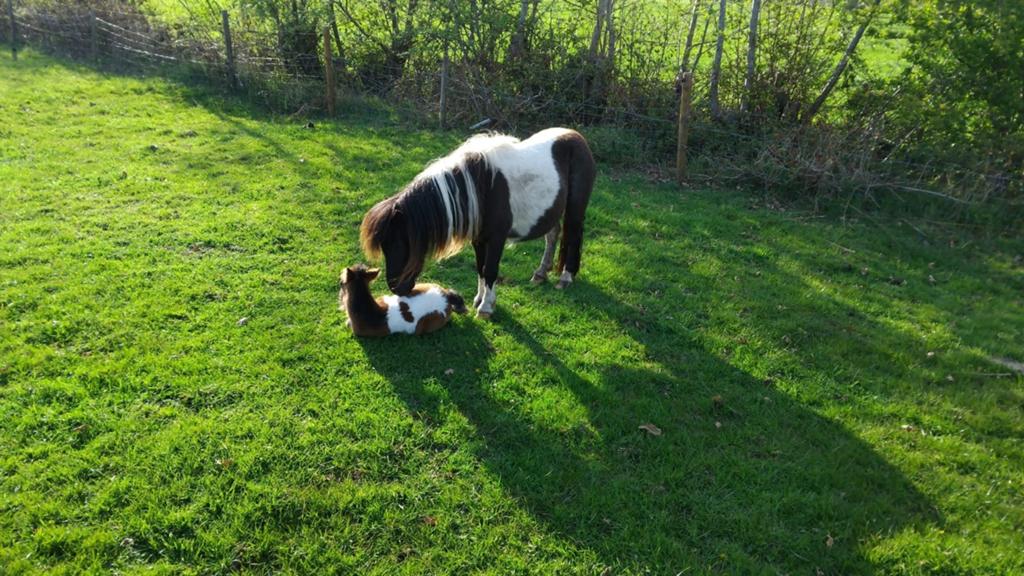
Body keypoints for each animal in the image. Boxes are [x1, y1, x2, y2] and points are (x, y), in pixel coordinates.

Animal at [359, 128, 596, 319]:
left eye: (398, 243)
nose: (397, 288)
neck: (481, 188)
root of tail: (577, 137)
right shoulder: (479, 239)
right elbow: (480, 268)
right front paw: (479, 300)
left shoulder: (497, 238)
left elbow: (490, 270)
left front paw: (486, 308)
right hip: (550, 211)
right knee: (552, 235)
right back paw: (541, 273)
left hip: (575, 209)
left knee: (573, 236)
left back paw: (565, 277)